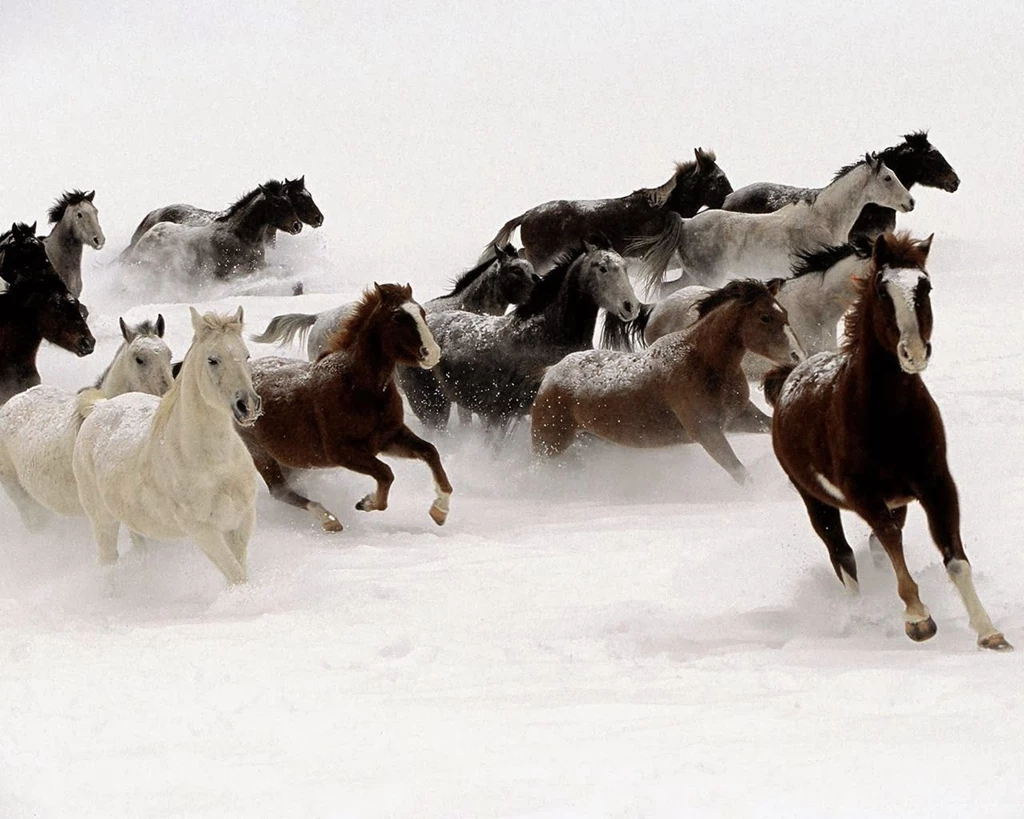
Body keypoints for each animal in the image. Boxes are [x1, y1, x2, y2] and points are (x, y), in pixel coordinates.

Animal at [72, 307, 261, 584]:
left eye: (246, 355)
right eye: (212, 360)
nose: (247, 405)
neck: (215, 464)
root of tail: (99, 407)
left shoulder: (241, 520)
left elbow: (239, 572)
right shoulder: (203, 530)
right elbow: (237, 577)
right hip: (102, 521)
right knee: (107, 560)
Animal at [236, 283, 453, 533]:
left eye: (422, 313)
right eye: (398, 317)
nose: (432, 353)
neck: (358, 389)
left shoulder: (389, 438)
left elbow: (430, 452)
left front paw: (440, 511)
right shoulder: (342, 452)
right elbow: (386, 474)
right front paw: (367, 503)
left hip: (290, 459)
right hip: (260, 453)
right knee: (280, 491)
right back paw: (329, 520)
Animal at [533, 279, 803, 481]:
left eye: (785, 313)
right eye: (764, 317)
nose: (797, 355)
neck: (703, 362)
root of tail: (550, 373)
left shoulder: (740, 417)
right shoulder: (706, 432)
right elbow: (740, 474)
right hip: (549, 446)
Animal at [635, 154, 914, 293]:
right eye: (888, 178)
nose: (910, 202)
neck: (823, 219)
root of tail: (685, 224)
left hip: (691, 276)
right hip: (707, 278)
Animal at [764, 232, 1010, 651]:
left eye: (925, 286)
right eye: (882, 291)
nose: (914, 353)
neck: (890, 417)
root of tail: (787, 377)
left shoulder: (936, 484)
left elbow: (954, 556)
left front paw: (989, 632)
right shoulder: (863, 494)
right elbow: (891, 542)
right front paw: (918, 619)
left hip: (898, 500)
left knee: (872, 549)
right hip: (815, 500)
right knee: (843, 556)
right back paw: (860, 616)